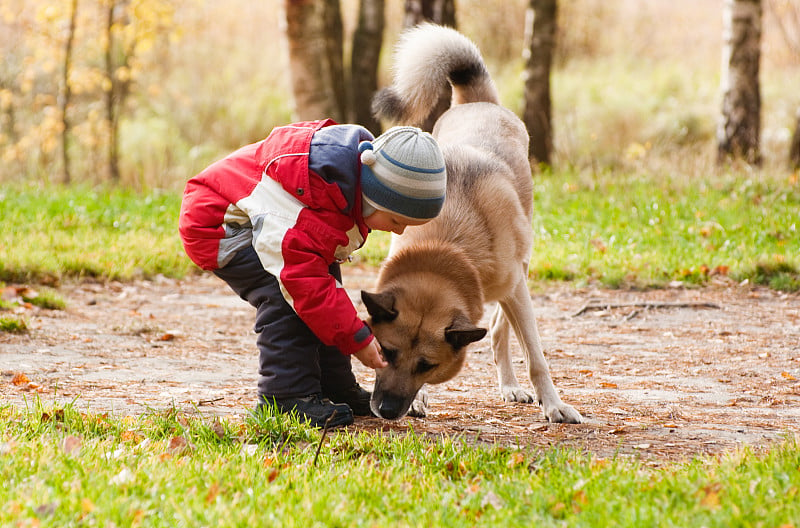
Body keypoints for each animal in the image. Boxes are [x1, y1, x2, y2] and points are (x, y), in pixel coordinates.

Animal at [360, 23, 580, 424]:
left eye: (426, 365)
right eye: (387, 352)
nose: (386, 410)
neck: (447, 247)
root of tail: (478, 102)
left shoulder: (517, 289)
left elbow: (536, 357)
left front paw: (554, 404)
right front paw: (419, 400)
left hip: (521, 271)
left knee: (497, 330)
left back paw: (510, 384)